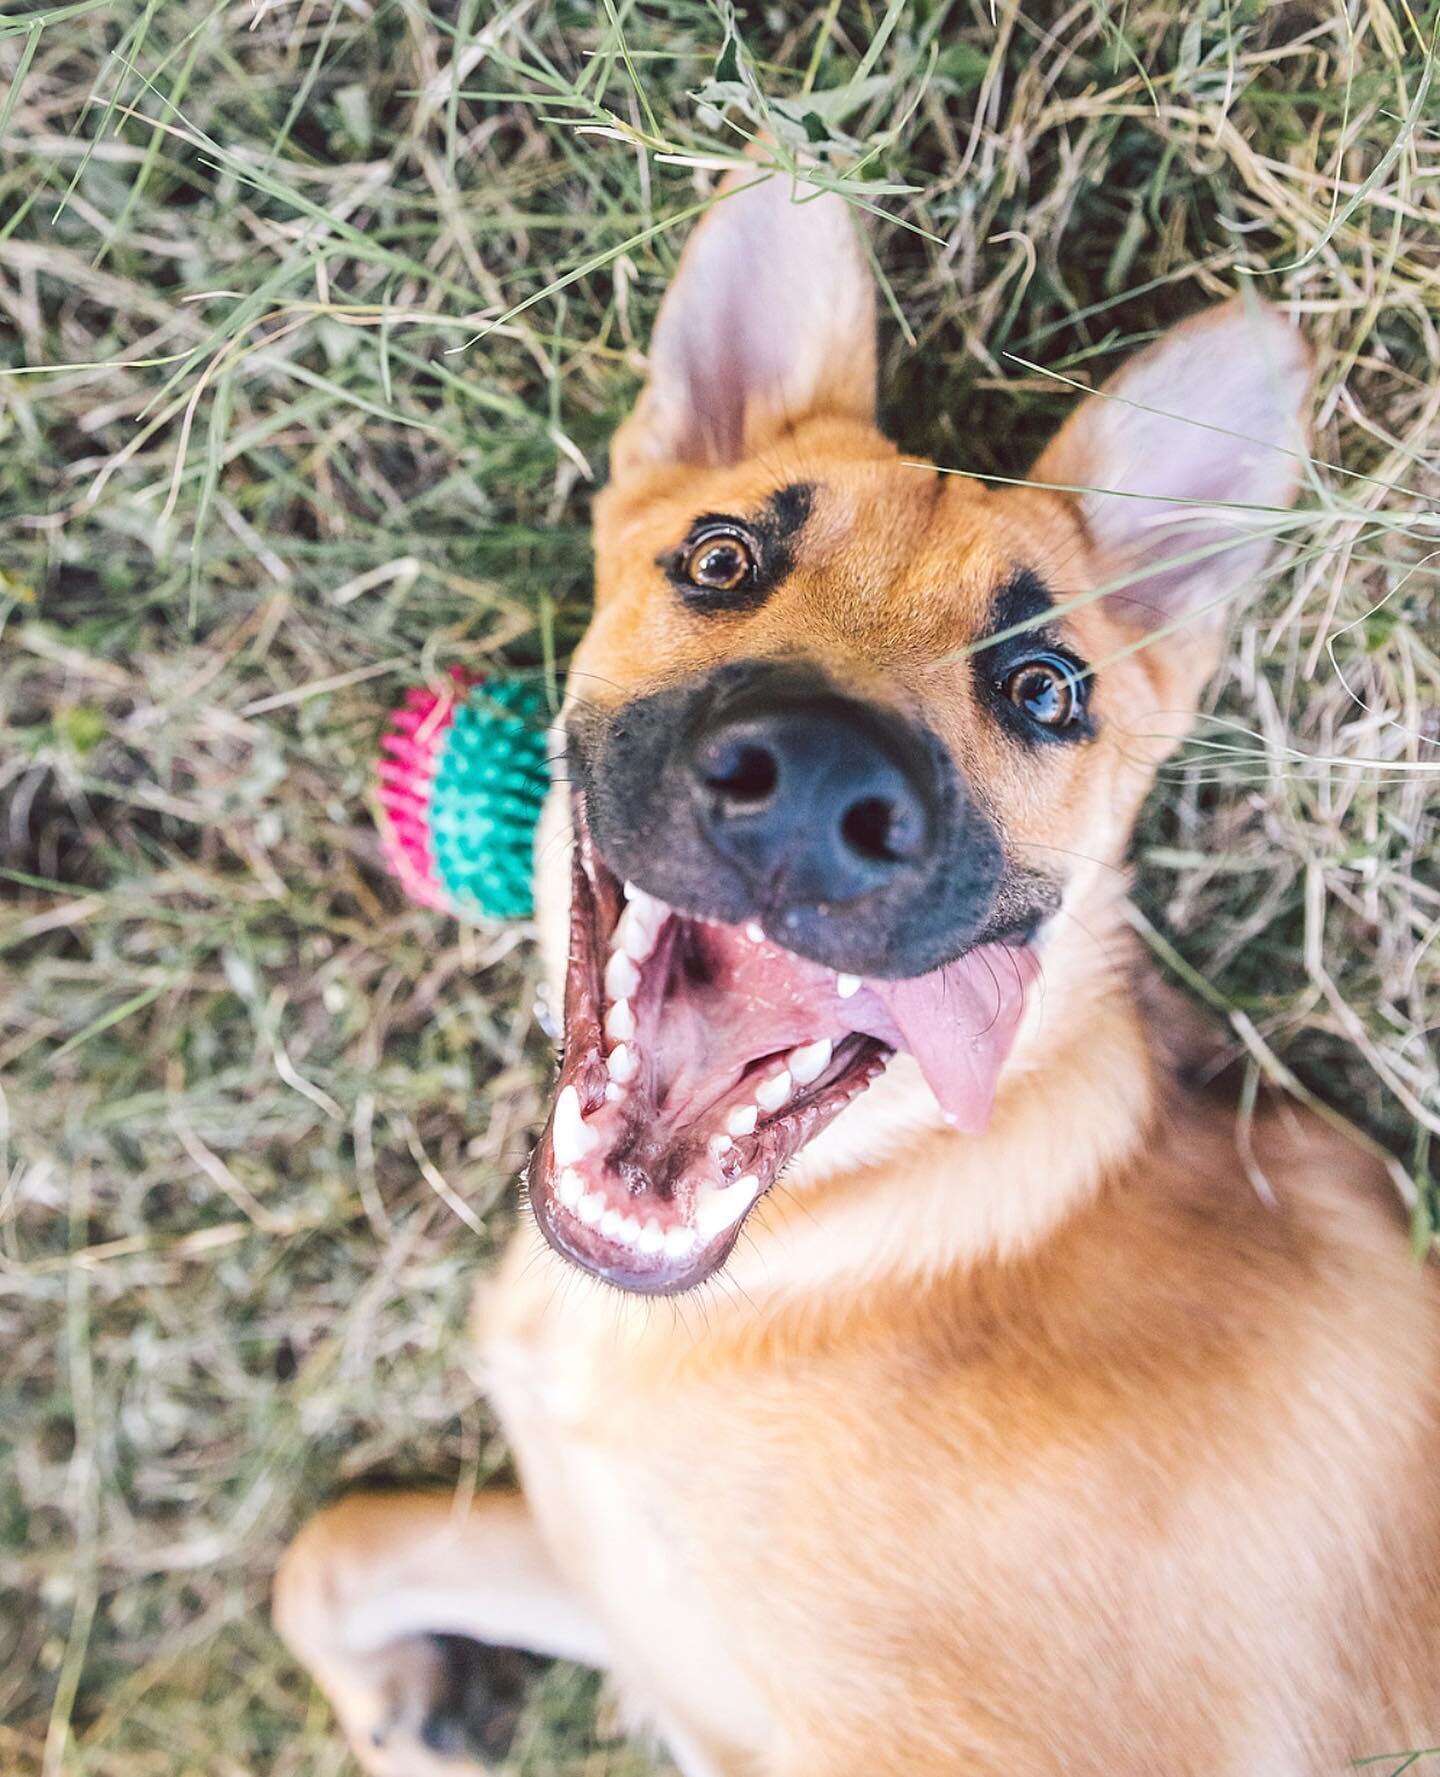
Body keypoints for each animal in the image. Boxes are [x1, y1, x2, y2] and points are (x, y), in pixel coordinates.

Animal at [272, 167, 1436, 1777]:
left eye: (1045, 688)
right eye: (720, 558)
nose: (818, 792)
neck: (849, 1228)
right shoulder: (639, 1592)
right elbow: (329, 1547)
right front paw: (401, 1708)